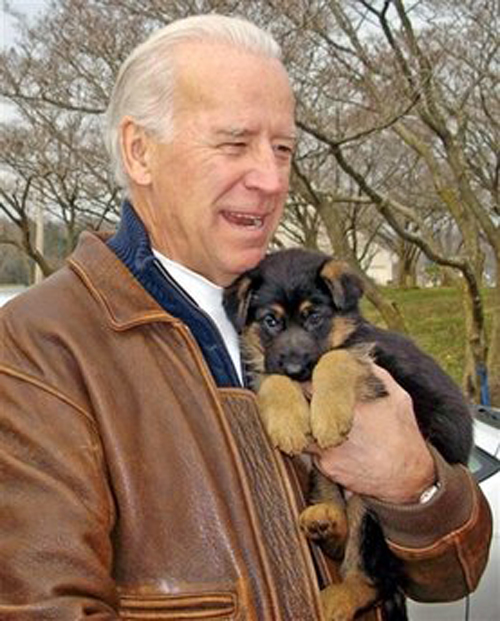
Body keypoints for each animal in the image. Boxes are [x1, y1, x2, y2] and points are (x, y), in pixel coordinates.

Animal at [223, 247, 472, 620]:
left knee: (369, 577)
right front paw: (288, 421)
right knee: (338, 528)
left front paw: (326, 417)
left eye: (315, 317)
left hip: (372, 508)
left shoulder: (372, 365)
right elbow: (271, 378)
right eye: (271, 321)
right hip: (324, 480)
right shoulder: (268, 365)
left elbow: (337, 358)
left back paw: (335, 600)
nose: (295, 367)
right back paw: (323, 520)